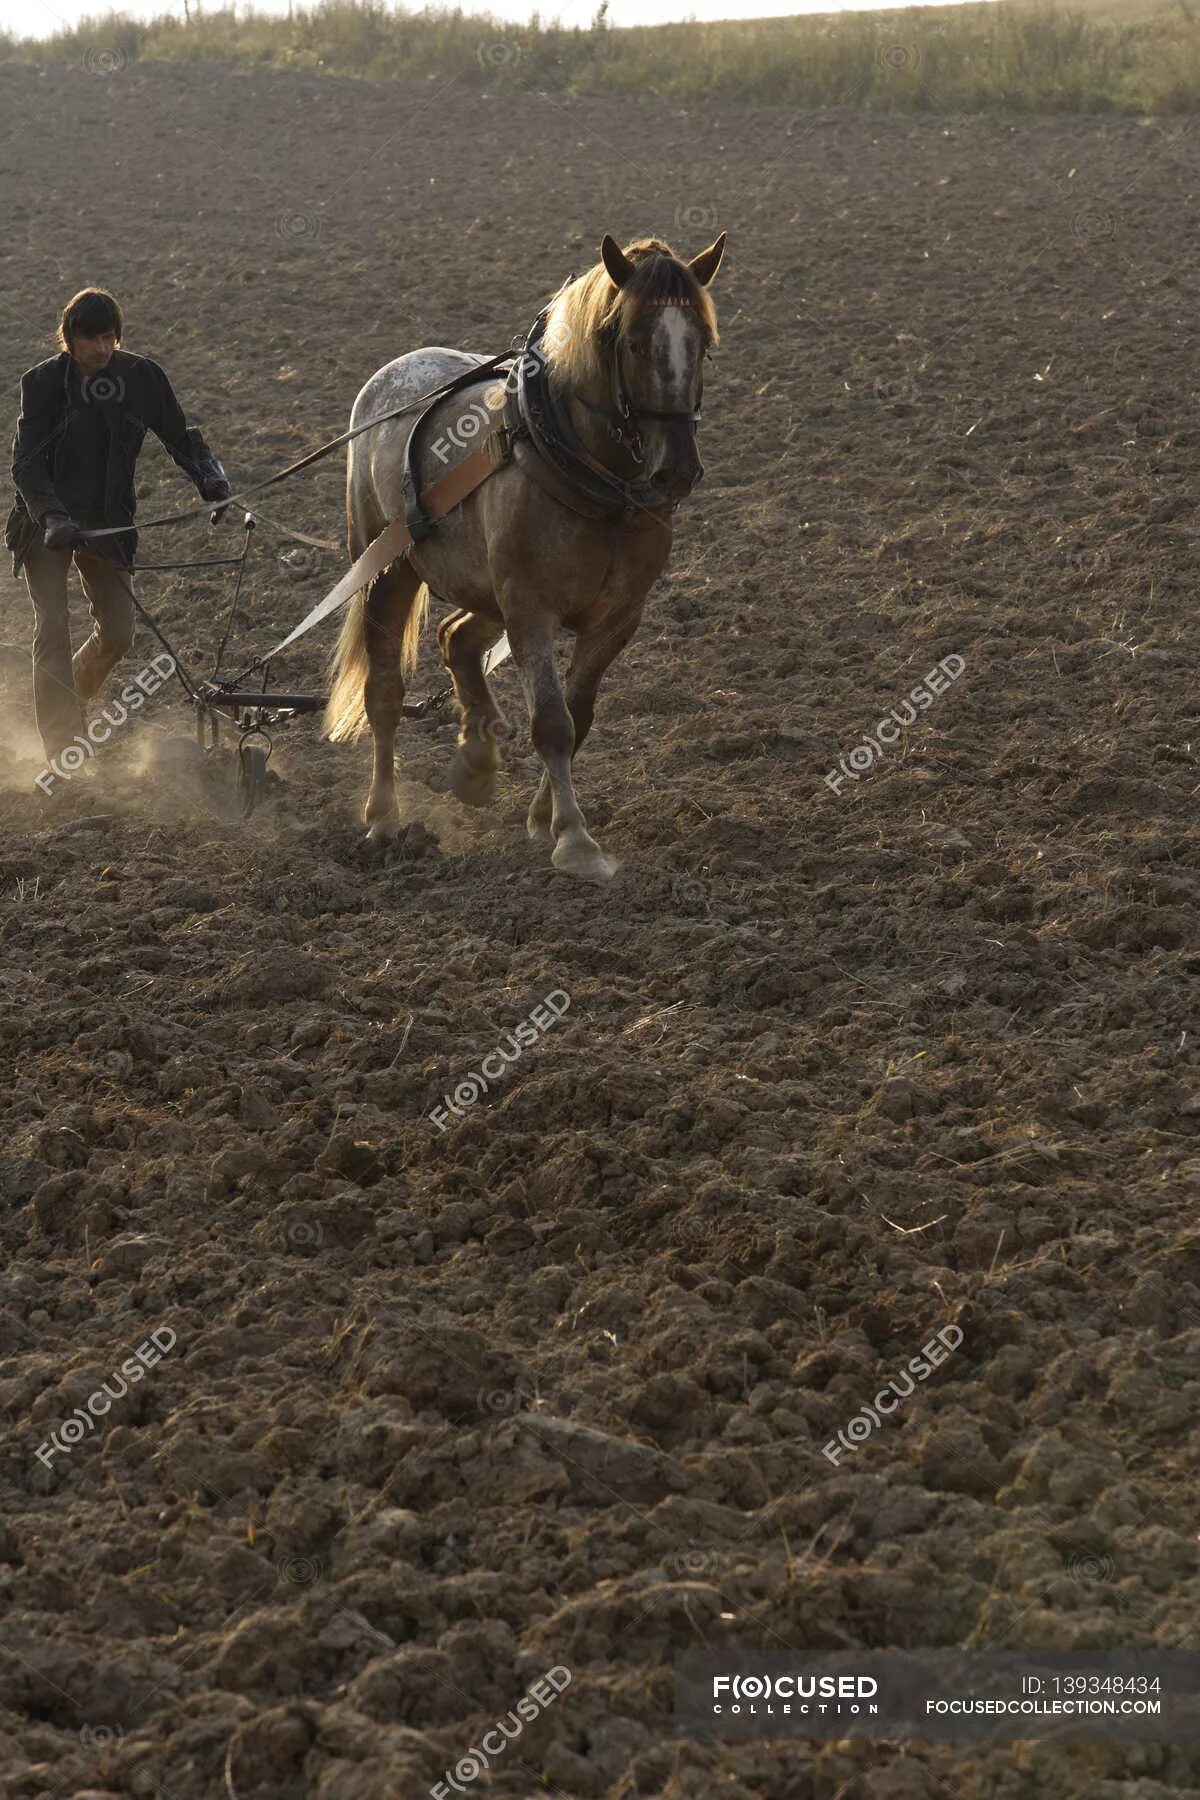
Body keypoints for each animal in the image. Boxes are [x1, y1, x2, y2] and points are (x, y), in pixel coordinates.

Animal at [323, 232, 726, 885]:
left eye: (703, 344)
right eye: (633, 342)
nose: (678, 470)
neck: (596, 485)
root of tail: (394, 371)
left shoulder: (616, 618)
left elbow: (579, 716)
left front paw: (543, 817)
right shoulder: (531, 608)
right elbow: (554, 724)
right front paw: (576, 840)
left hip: (484, 587)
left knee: (456, 638)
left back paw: (476, 758)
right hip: (388, 571)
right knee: (384, 693)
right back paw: (383, 816)